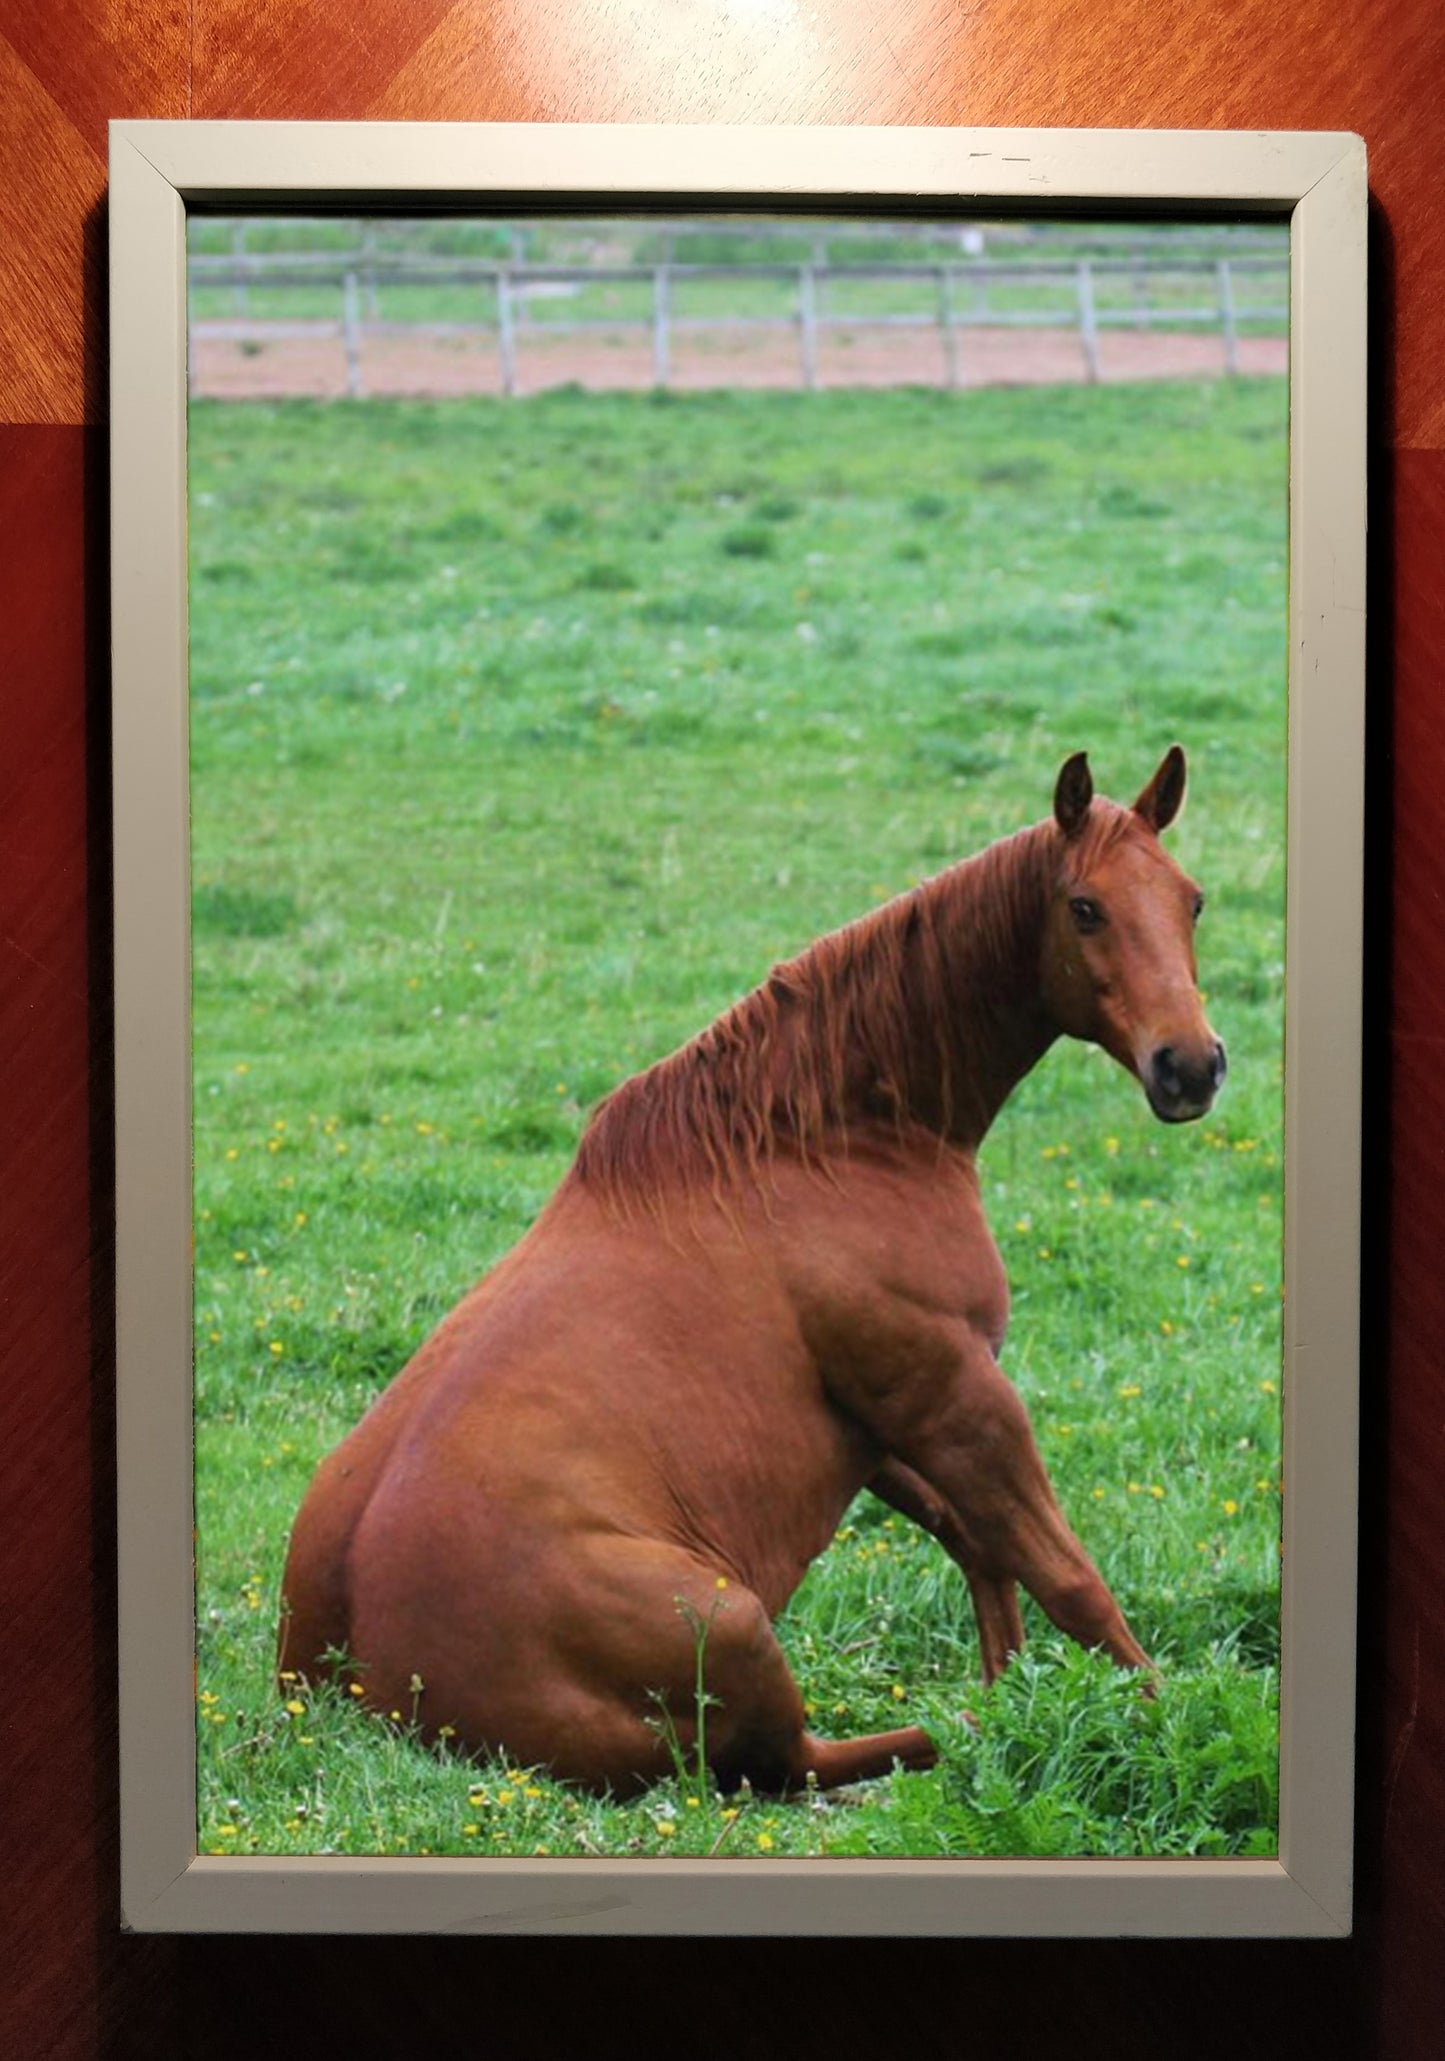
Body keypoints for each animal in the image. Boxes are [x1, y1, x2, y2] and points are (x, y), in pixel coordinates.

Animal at [277, 746, 1225, 1797]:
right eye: (1083, 907)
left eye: (1189, 899)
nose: (1190, 1066)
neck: (823, 1143)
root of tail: (342, 1686)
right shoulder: (952, 1394)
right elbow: (1070, 1582)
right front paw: (1166, 1729)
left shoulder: (877, 1422)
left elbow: (979, 1544)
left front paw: (1022, 1687)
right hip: (734, 1622)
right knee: (794, 1762)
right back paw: (969, 1730)